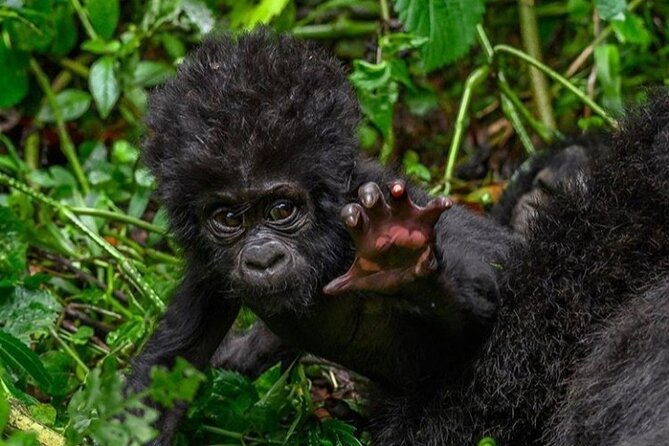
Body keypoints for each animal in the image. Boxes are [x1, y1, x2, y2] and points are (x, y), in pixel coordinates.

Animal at [129, 29, 669, 446]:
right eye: (227, 218)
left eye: (282, 210)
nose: (261, 259)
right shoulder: (208, 265)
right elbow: (170, 364)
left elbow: (486, 311)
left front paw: (401, 264)